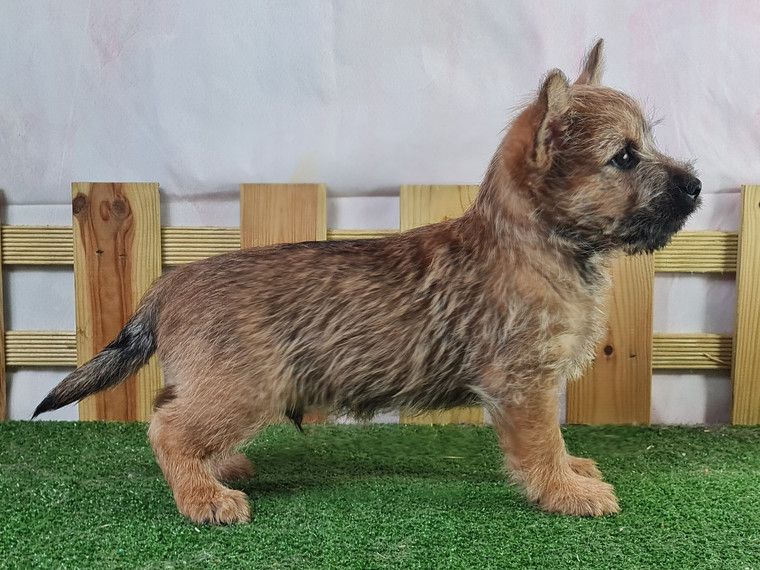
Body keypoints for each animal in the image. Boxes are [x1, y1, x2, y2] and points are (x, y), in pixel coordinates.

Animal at [34, 40, 701, 524]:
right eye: (625, 157)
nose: (695, 186)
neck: (536, 243)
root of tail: (167, 284)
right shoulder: (524, 387)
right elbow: (542, 445)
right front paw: (566, 492)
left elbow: (554, 443)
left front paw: (574, 472)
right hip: (243, 389)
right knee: (168, 429)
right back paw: (204, 499)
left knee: (172, 415)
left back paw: (219, 469)